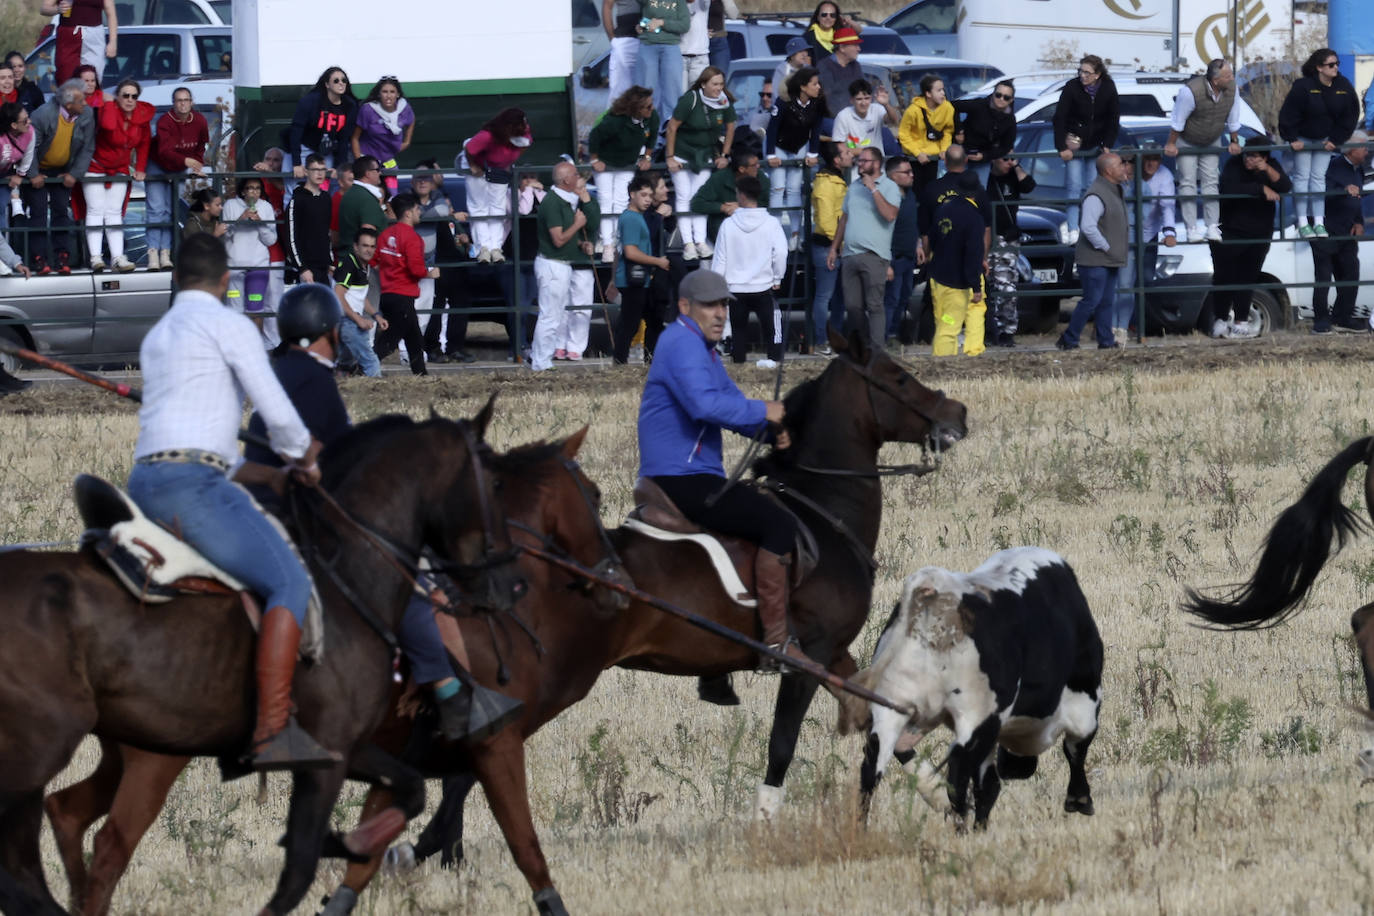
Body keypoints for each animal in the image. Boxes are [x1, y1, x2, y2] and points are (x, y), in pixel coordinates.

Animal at [37, 425, 629, 916]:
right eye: (594, 494)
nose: (616, 581)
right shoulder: (493, 744)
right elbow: (525, 846)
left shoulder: (394, 756)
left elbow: (376, 846)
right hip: (154, 762)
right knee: (110, 847)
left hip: (124, 754)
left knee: (65, 810)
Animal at [381, 330, 972, 900]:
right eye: (899, 377)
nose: (958, 413)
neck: (822, 514)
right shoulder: (807, 660)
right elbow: (782, 746)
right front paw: (765, 827)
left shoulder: (836, 656)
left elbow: (884, 722)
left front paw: (947, 802)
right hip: (554, 684)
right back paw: (423, 847)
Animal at [835, 549, 1104, 834]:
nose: (1018, 768)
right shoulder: (1085, 706)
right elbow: (1076, 750)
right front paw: (1080, 799)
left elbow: (987, 783)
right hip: (974, 717)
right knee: (957, 770)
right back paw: (959, 827)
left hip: (891, 713)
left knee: (871, 771)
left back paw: (861, 830)